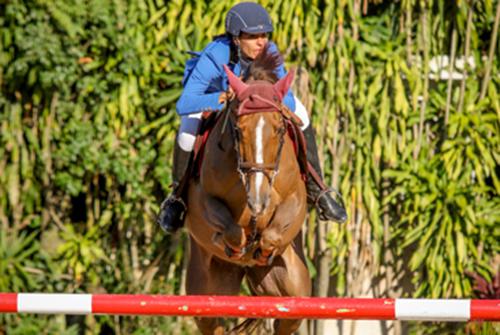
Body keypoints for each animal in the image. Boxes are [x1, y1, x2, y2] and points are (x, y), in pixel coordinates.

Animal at [185, 50, 308, 335]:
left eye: (280, 129)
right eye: (238, 130)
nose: (258, 201)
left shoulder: (296, 200)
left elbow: (274, 233)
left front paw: (261, 249)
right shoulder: (203, 201)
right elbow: (230, 229)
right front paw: (236, 244)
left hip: (293, 293)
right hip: (206, 296)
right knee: (212, 322)